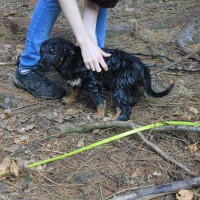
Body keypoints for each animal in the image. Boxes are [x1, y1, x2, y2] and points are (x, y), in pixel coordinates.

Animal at [39, 38, 173, 120]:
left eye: (53, 52)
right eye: (41, 52)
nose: (40, 65)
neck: (71, 59)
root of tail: (142, 66)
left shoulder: (93, 83)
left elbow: (99, 101)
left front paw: (99, 115)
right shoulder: (75, 79)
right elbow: (74, 89)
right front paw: (69, 99)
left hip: (118, 87)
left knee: (126, 109)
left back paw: (116, 119)